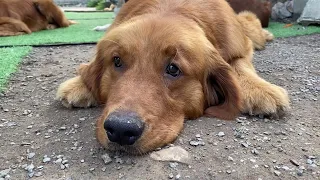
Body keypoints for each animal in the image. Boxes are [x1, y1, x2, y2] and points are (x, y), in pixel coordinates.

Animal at [55, 0, 290, 155]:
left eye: (173, 69)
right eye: (117, 61)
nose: (121, 129)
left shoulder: (239, 46)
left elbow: (239, 63)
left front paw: (262, 90)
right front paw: (78, 85)